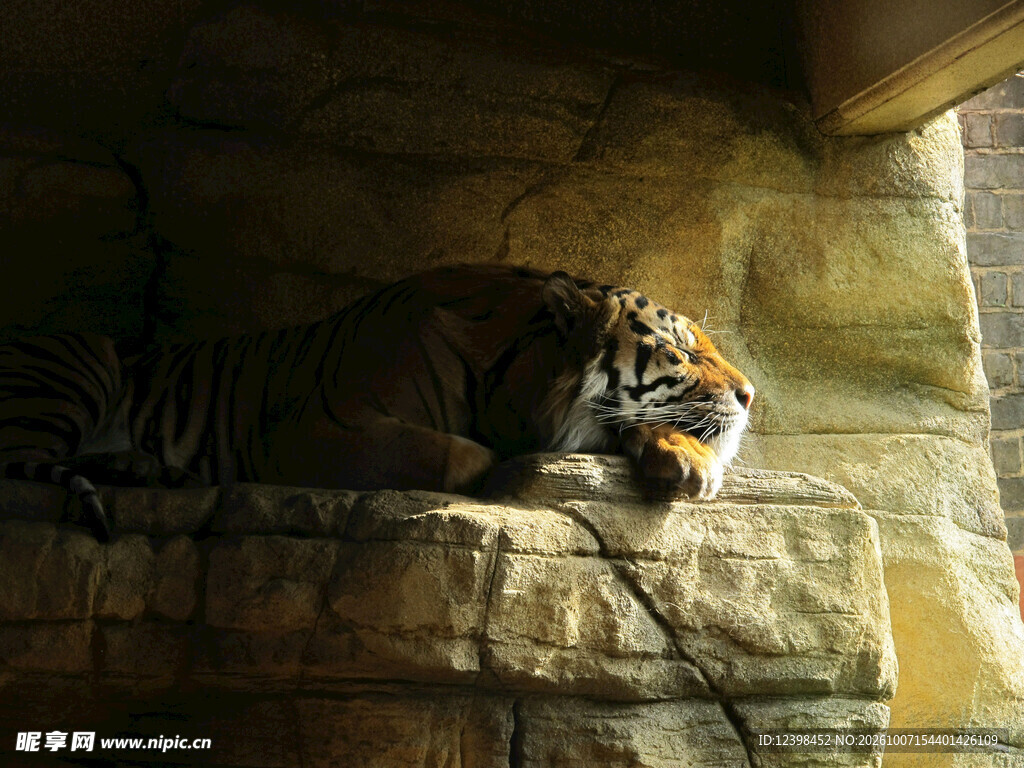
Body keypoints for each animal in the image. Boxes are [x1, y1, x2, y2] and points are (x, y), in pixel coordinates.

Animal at [0, 265, 754, 541]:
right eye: (683, 352)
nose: (751, 395)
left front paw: (687, 459)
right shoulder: (310, 431)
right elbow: (460, 454)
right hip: (84, 359)